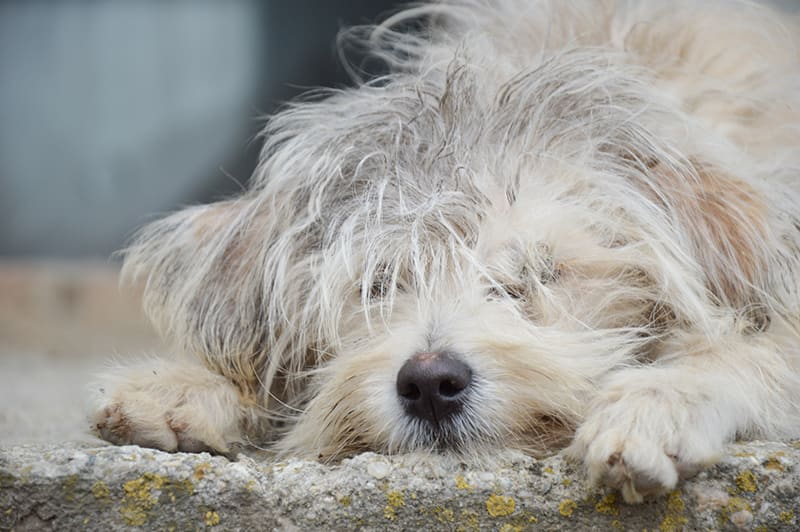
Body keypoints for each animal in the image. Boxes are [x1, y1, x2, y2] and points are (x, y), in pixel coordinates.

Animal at [90, 0, 800, 502]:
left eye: (538, 274)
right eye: (377, 285)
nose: (430, 382)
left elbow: (752, 350)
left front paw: (658, 401)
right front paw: (185, 385)